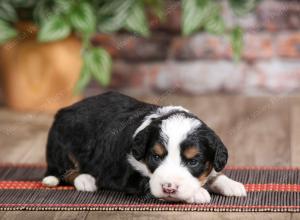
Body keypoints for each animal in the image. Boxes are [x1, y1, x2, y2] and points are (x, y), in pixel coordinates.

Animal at [42, 91, 246, 203]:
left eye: (193, 162)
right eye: (156, 157)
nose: (169, 188)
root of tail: (63, 111)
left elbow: (214, 174)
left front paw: (232, 185)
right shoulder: (129, 175)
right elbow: (147, 181)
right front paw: (198, 193)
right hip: (63, 143)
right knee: (65, 171)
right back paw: (85, 180)